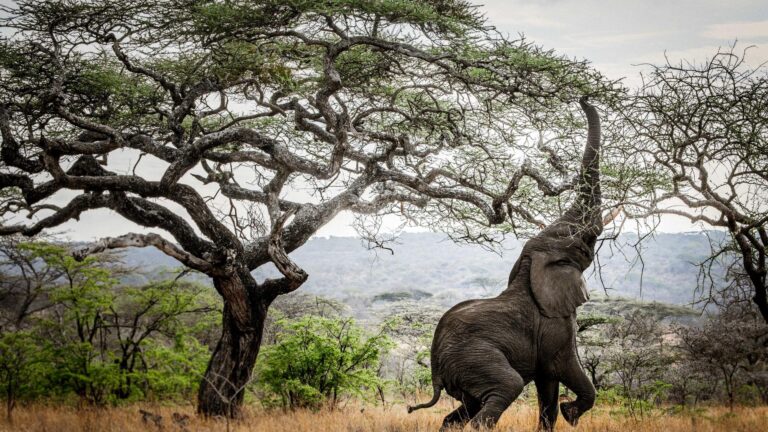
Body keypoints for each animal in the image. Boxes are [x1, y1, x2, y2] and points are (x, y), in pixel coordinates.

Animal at [408, 97, 605, 431]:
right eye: (580, 242)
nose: (581, 98)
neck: (528, 267)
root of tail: (435, 368)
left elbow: (547, 389)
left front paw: (561, 413)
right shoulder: (555, 325)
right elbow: (567, 369)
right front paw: (571, 412)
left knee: (463, 410)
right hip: (475, 358)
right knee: (502, 391)